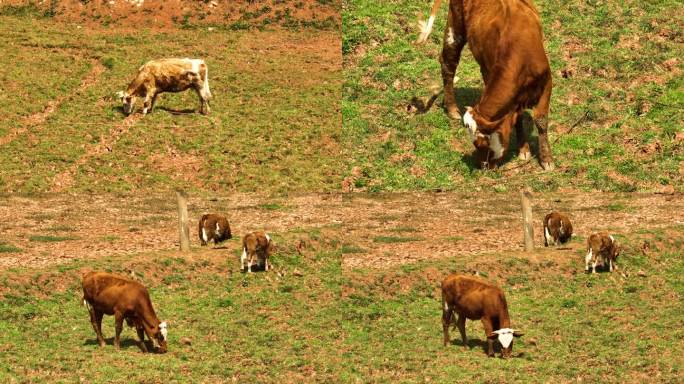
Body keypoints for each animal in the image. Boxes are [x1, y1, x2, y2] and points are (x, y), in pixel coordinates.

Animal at [424, 0, 560, 170]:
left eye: (481, 144)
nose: (482, 165)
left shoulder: (547, 82)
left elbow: (541, 121)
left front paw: (546, 159)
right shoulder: (490, 73)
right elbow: (519, 119)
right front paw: (524, 150)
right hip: (454, 26)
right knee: (448, 65)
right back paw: (452, 108)